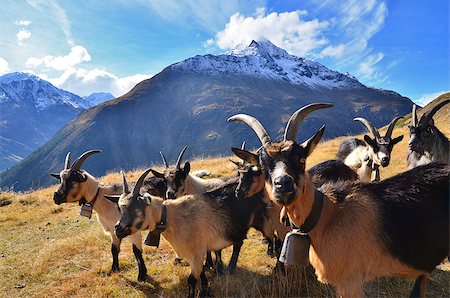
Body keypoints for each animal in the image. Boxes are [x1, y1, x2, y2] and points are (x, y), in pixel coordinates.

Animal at [49, 151, 152, 282]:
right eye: (61, 179)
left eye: (72, 180)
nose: (56, 197)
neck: (102, 198)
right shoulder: (114, 231)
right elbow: (114, 250)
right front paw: (114, 270)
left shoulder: (133, 231)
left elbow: (137, 251)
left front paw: (142, 275)